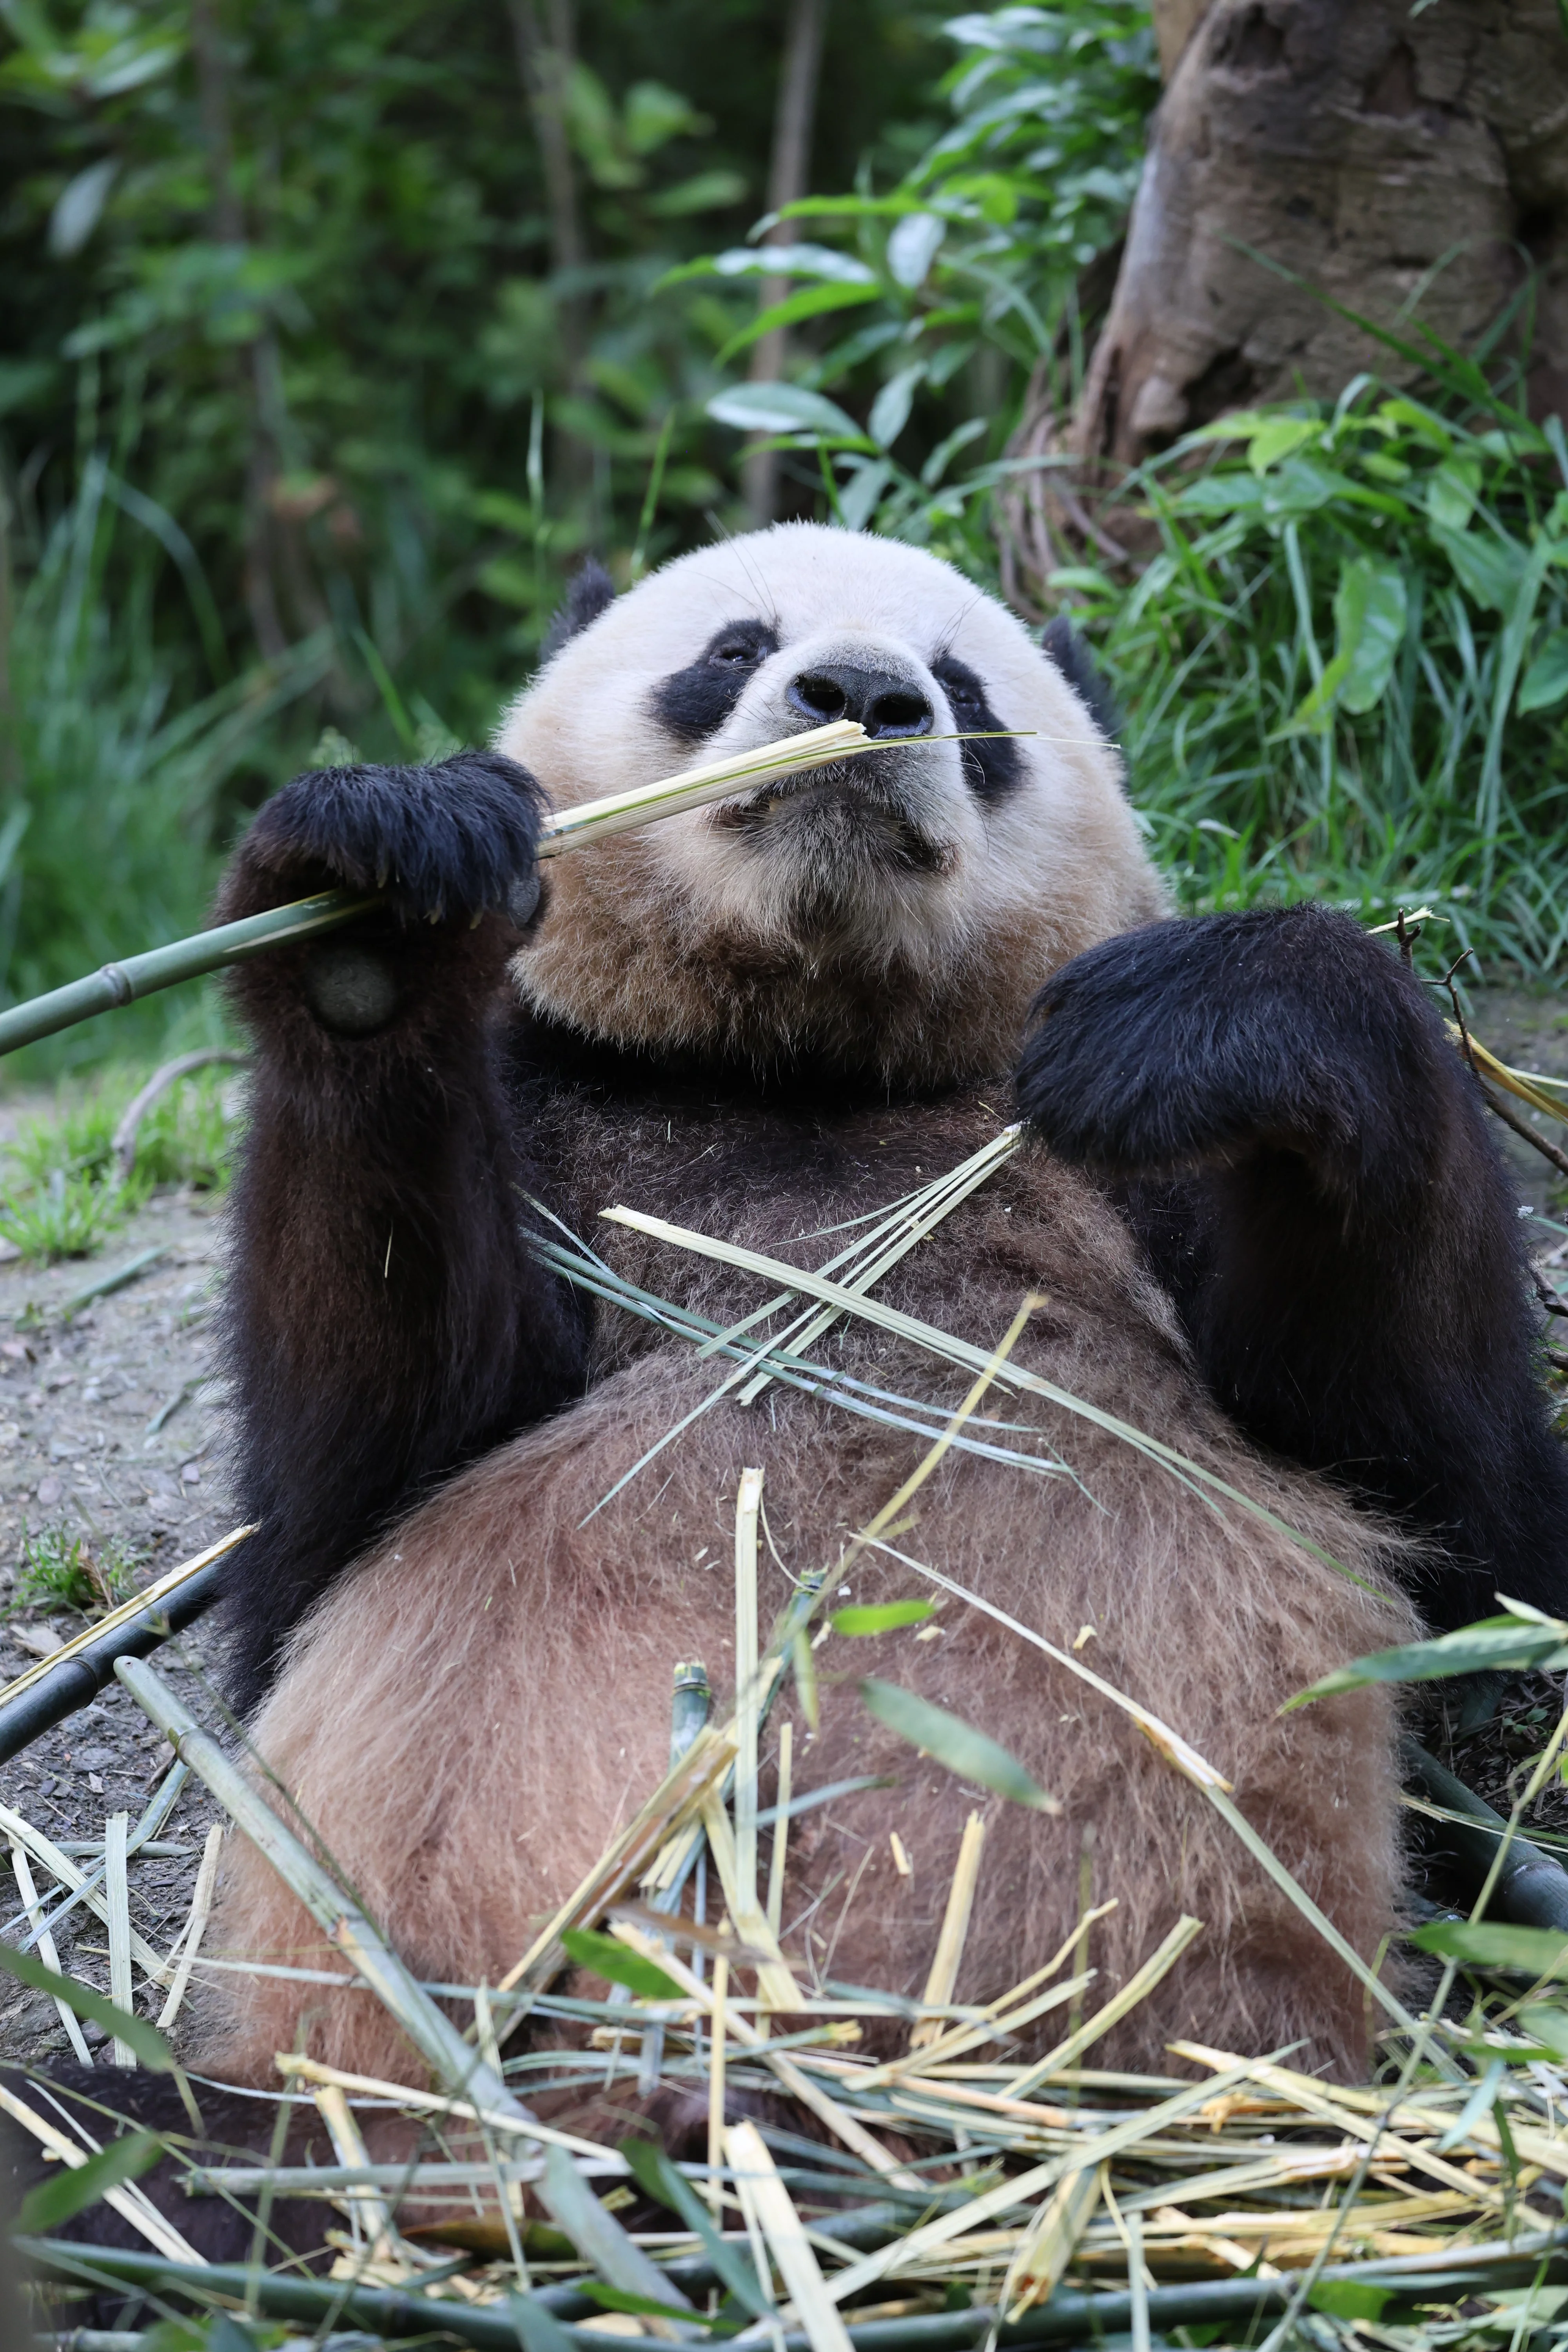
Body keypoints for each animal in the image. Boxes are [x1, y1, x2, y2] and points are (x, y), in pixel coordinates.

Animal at [163, 521, 1566, 2095]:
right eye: (730, 650)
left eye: (967, 689)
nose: (862, 696)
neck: (806, 1065)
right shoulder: (567, 1125)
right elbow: (350, 1486)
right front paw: (385, 900)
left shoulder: (1113, 1177)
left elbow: (1458, 1520)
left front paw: (1202, 1017)